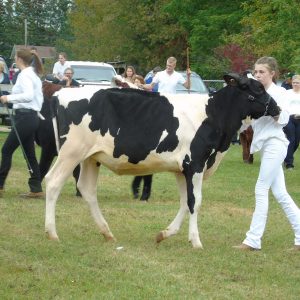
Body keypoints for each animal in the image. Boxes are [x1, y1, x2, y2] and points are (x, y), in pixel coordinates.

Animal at [44, 73, 278, 248]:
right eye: (258, 88)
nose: (277, 108)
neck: (213, 114)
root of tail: (60, 93)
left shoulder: (182, 169)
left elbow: (185, 202)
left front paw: (164, 234)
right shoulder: (196, 163)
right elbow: (195, 201)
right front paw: (196, 241)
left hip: (91, 157)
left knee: (87, 189)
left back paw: (107, 232)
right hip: (71, 152)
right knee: (53, 182)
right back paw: (52, 234)